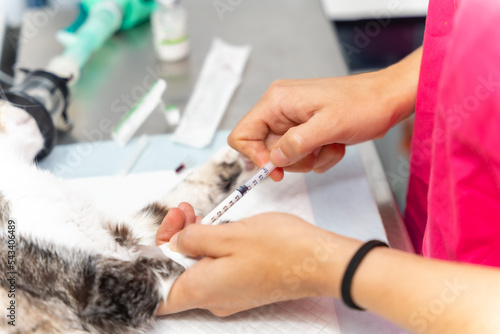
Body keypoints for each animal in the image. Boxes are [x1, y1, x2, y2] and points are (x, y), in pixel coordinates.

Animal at [0, 102, 256, 334]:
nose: (18, 105)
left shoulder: (122, 234)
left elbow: (173, 201)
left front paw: (239, 159)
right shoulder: (104, 288)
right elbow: (167, 259)